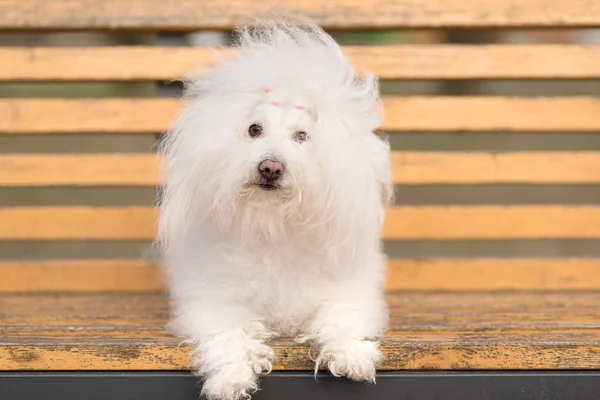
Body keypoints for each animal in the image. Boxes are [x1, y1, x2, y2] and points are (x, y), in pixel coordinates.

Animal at [158, 16, 394, 400]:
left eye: (301, 136)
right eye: (254, 129)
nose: (270, 167)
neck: (272, 225)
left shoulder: (347, 292)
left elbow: (341, 320)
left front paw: (352, 356)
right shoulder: (213, 301)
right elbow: (229, 337)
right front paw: (231, 379)